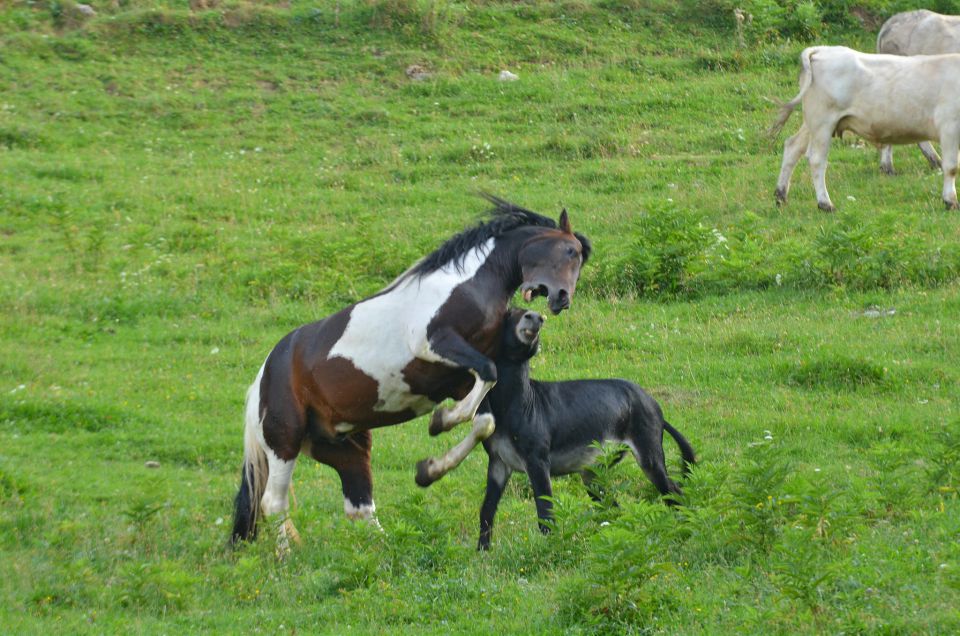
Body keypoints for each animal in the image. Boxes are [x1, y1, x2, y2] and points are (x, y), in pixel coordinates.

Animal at [233, 194, 592, 540]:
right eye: (569, 251)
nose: (562, 299)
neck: (467, 287)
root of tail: (262, 378)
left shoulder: (459, 378)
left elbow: (485, 419)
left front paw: (430, 466)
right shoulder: (432, 343)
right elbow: (488, 376)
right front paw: (442, 422)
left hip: (344, 446)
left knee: (359, 507)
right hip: (285, 442)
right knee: (273, 503)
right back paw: (288, 553)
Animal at [772, 46, 960, 214]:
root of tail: (822, 49)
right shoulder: (949, 126)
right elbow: (951, 167)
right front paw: (950, 201)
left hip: (812, 122)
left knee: (793, 147)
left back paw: (781, 196)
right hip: (822, 122)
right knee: (817, 159)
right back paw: (825, 204)